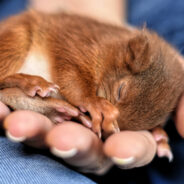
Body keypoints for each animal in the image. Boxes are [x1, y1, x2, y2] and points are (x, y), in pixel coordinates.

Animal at [0, 9, 184, 137]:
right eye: (120, 91)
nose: (108, 131)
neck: (110, 49)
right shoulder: (77, 46)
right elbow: (71, 76)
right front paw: (95, 103)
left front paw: (161, 136)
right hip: (15, 39)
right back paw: (31, 82)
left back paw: (57, 109)